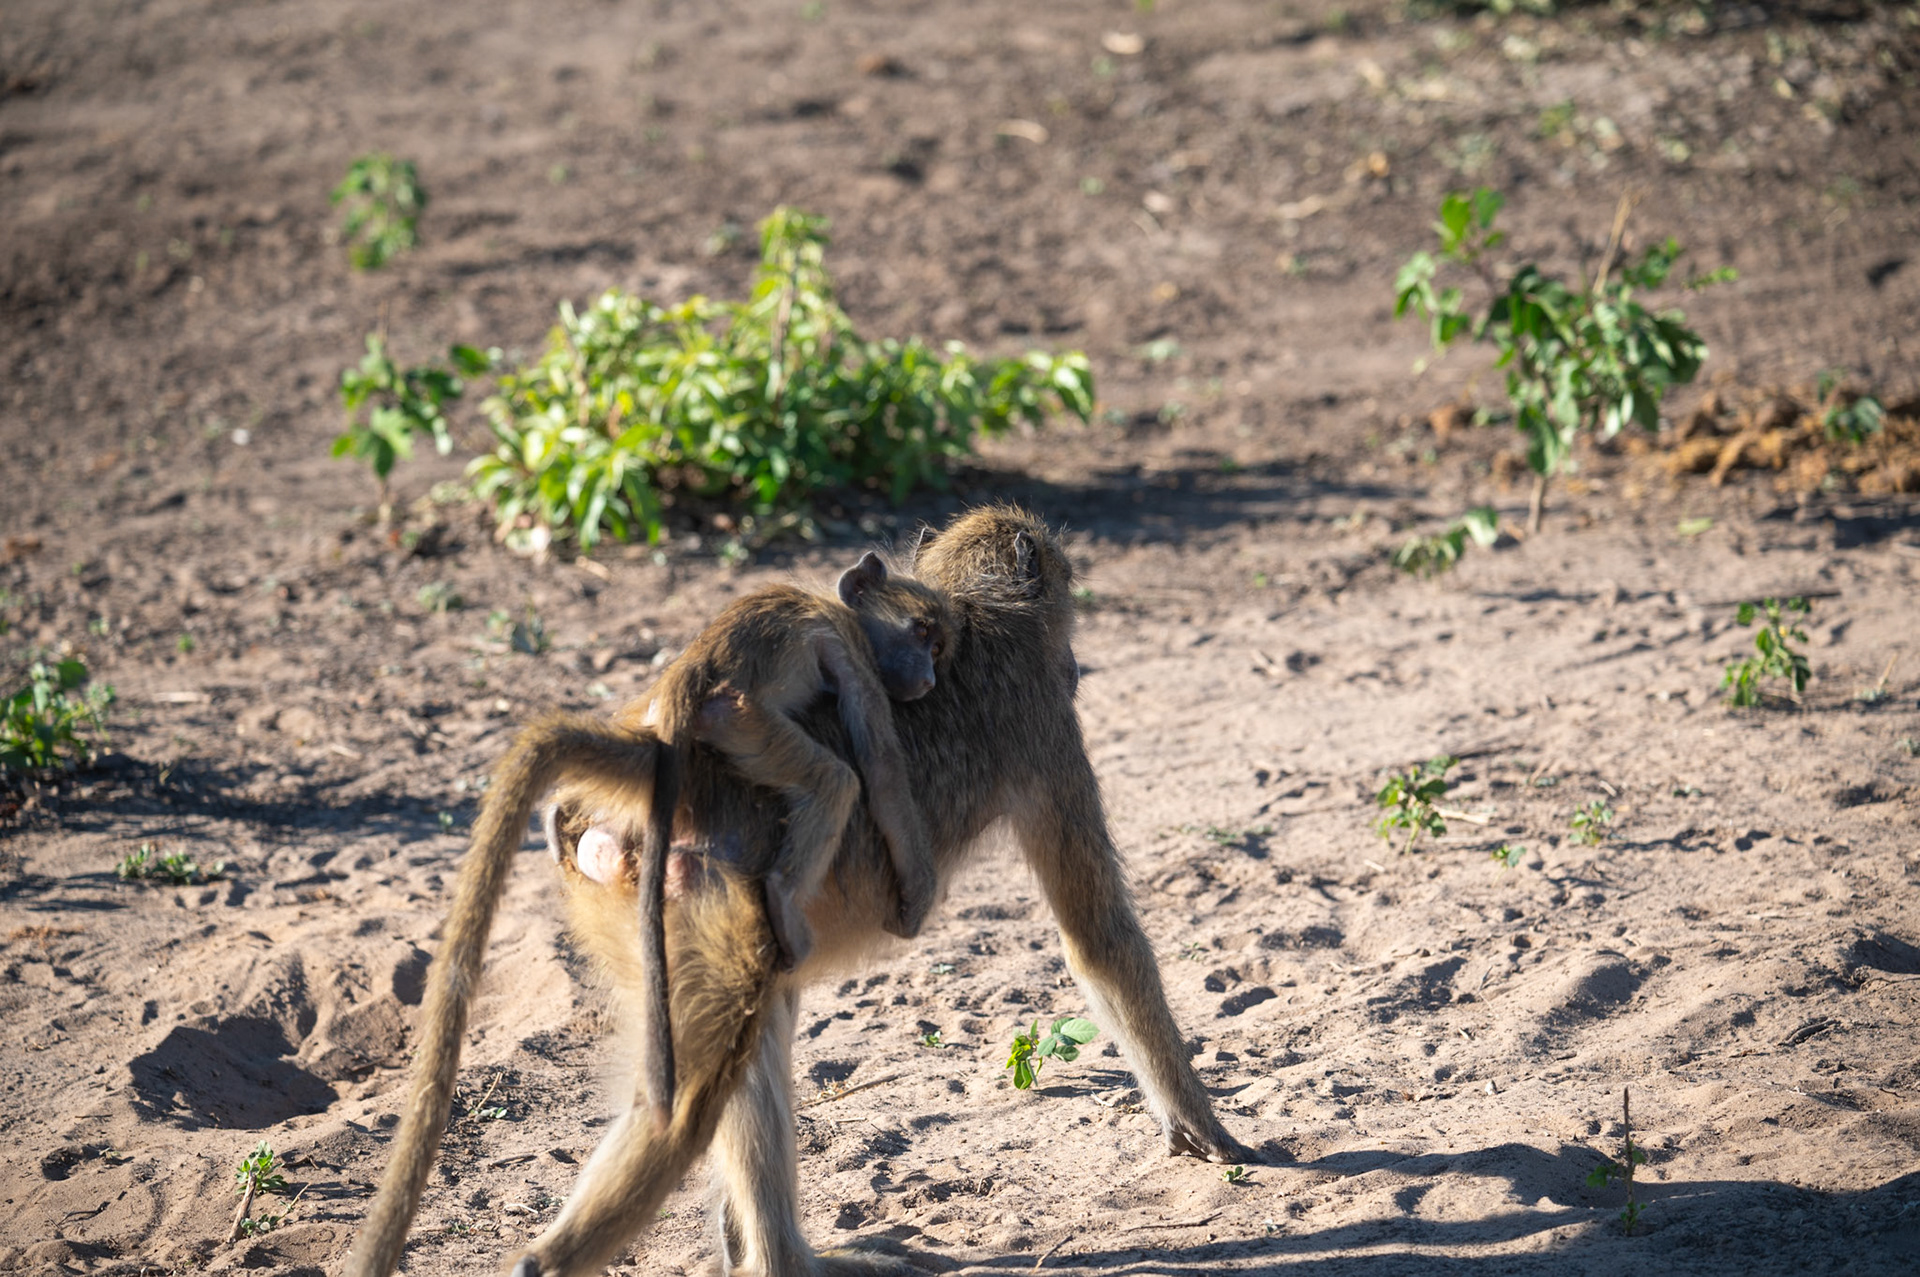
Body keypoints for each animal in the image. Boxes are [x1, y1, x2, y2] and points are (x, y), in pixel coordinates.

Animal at [343, 506, 1253, 1277]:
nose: (1077, 663)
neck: (976, 618)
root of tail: (655, 754)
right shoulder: (1042, 722)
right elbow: (1097, 936)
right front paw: (1209, 1130)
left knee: (755, 1026)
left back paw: (782, 1259)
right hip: (693, 888)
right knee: (694, 1092)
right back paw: (574, 1258)